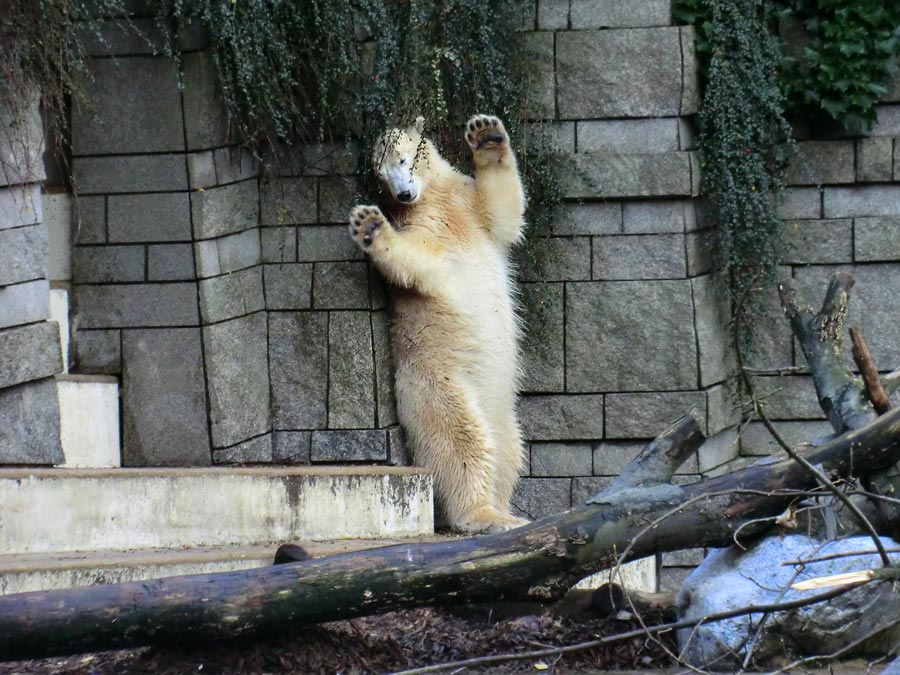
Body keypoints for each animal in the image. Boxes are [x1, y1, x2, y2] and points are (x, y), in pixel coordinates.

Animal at [344, 117, 528, 540]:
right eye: (381, 176)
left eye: (403, 158)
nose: (403, 192)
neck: (433, 198)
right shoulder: (422, 225)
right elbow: (417, 262)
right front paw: (371, 226)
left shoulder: (465, 205)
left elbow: (504, 214)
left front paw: (486, 135)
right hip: (436, 386)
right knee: (463, 443)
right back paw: (484, 515)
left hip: (503, 413)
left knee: (509, 450)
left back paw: (507, 510)